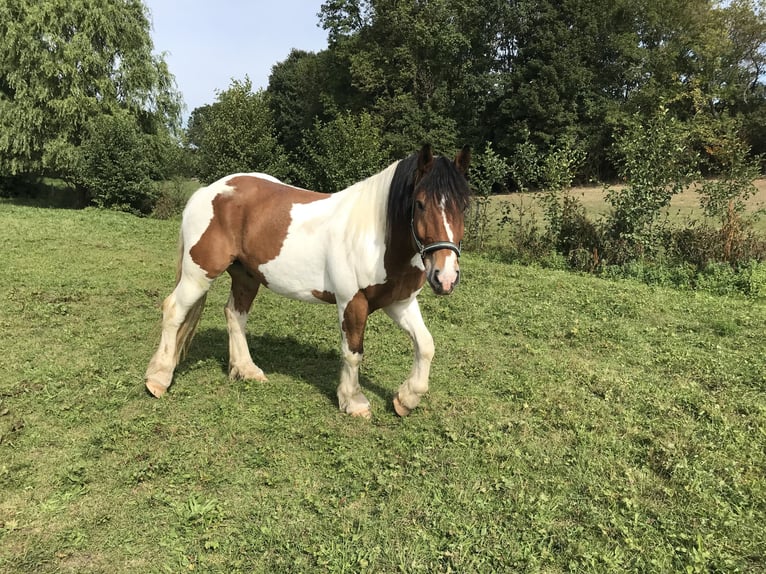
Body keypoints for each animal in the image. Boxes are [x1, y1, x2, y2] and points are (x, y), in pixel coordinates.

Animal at [141, 144, 472, 418]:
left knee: (235, 314)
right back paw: (157, 379)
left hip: (246, 276)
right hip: (199, 273)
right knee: (174, 311)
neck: (377, 236)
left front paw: (406, 399)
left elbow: (426, 345)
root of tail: (208, 191)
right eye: (420, 203)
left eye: (464, 206)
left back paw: (246, 370)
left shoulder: (400, 302)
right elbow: (353, 352)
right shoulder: (352, 302)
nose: (445, 277)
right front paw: (353, 402)